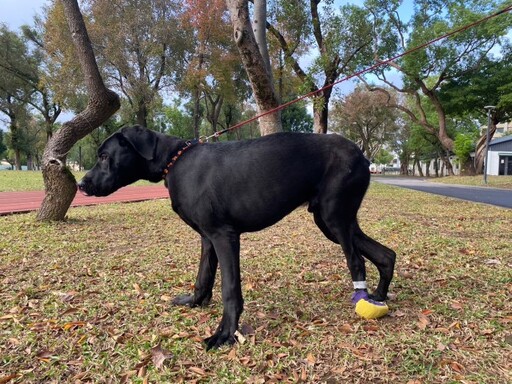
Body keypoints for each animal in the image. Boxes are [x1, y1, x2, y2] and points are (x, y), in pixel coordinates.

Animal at [78, 125, 396, 348]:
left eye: (104, 156)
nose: (81, 184)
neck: (174, 161)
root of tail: (362, 155)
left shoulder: (224, 236)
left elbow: (230, 289)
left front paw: (224, 334)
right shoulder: (207, 238)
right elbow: (203, 276)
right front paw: (196, 301)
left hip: (334, 218)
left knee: (357, 262)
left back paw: (364, 300)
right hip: (332, 221)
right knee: (385, 254)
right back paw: (379, 298)